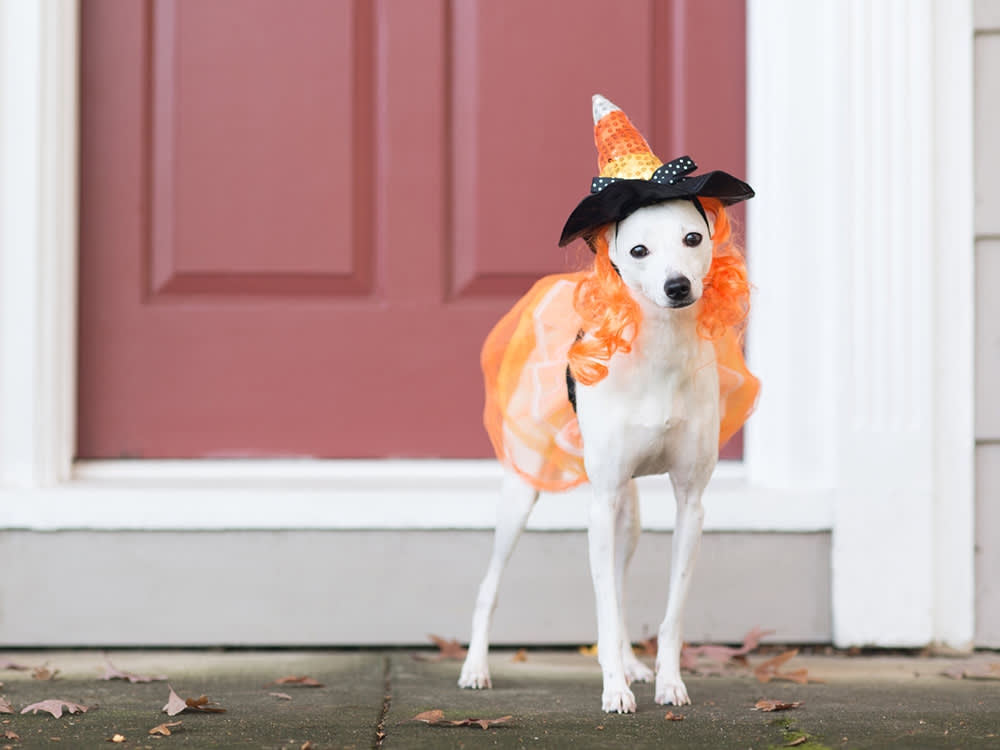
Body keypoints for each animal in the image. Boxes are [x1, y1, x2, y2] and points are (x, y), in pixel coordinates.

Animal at [458, 95, 752, 716]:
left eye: (693, 239)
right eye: (638, 249)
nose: (676, 287)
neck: (658, 354)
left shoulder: (691, 505)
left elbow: (667, 613)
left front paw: (666, 681)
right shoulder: (600, 502)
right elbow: (605, 607)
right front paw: (614, 689)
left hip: (629, 514)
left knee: (617, 583)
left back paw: (633, 665)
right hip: (526, 493)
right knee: (491, 585)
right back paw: (475, 668)